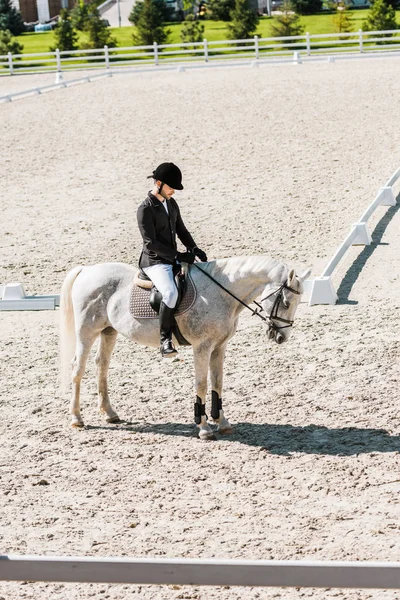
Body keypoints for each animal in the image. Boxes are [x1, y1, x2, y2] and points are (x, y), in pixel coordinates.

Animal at [60, 254, 310, 440]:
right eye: (285, 302)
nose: (282, 337)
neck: (221, 293)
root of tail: (86, 270)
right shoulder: (202, 347)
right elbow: (202, 384)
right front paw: (204, 428)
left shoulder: (219, 347)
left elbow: (217, 383)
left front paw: (222, 422)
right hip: (86, 332)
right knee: (77, 369)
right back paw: (76, 419)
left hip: (108, 331)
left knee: (102, 365)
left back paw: (110, 414)